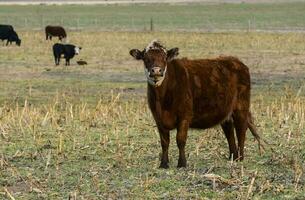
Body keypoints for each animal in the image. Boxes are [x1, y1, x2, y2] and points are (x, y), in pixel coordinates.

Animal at [128, 39, 262, 168]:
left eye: (164, 58)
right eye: (146, 58)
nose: (156, 70)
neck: (162, 99)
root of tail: (236, 61)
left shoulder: (184, 116)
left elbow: (180, 140)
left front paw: (182, 163)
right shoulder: (158, 118)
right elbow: (164, 142)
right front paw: (163, 164)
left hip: (241, 107)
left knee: (241, 130)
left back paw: (240, 158)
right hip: (226, 111)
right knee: (229, 132)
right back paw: (232, 157)